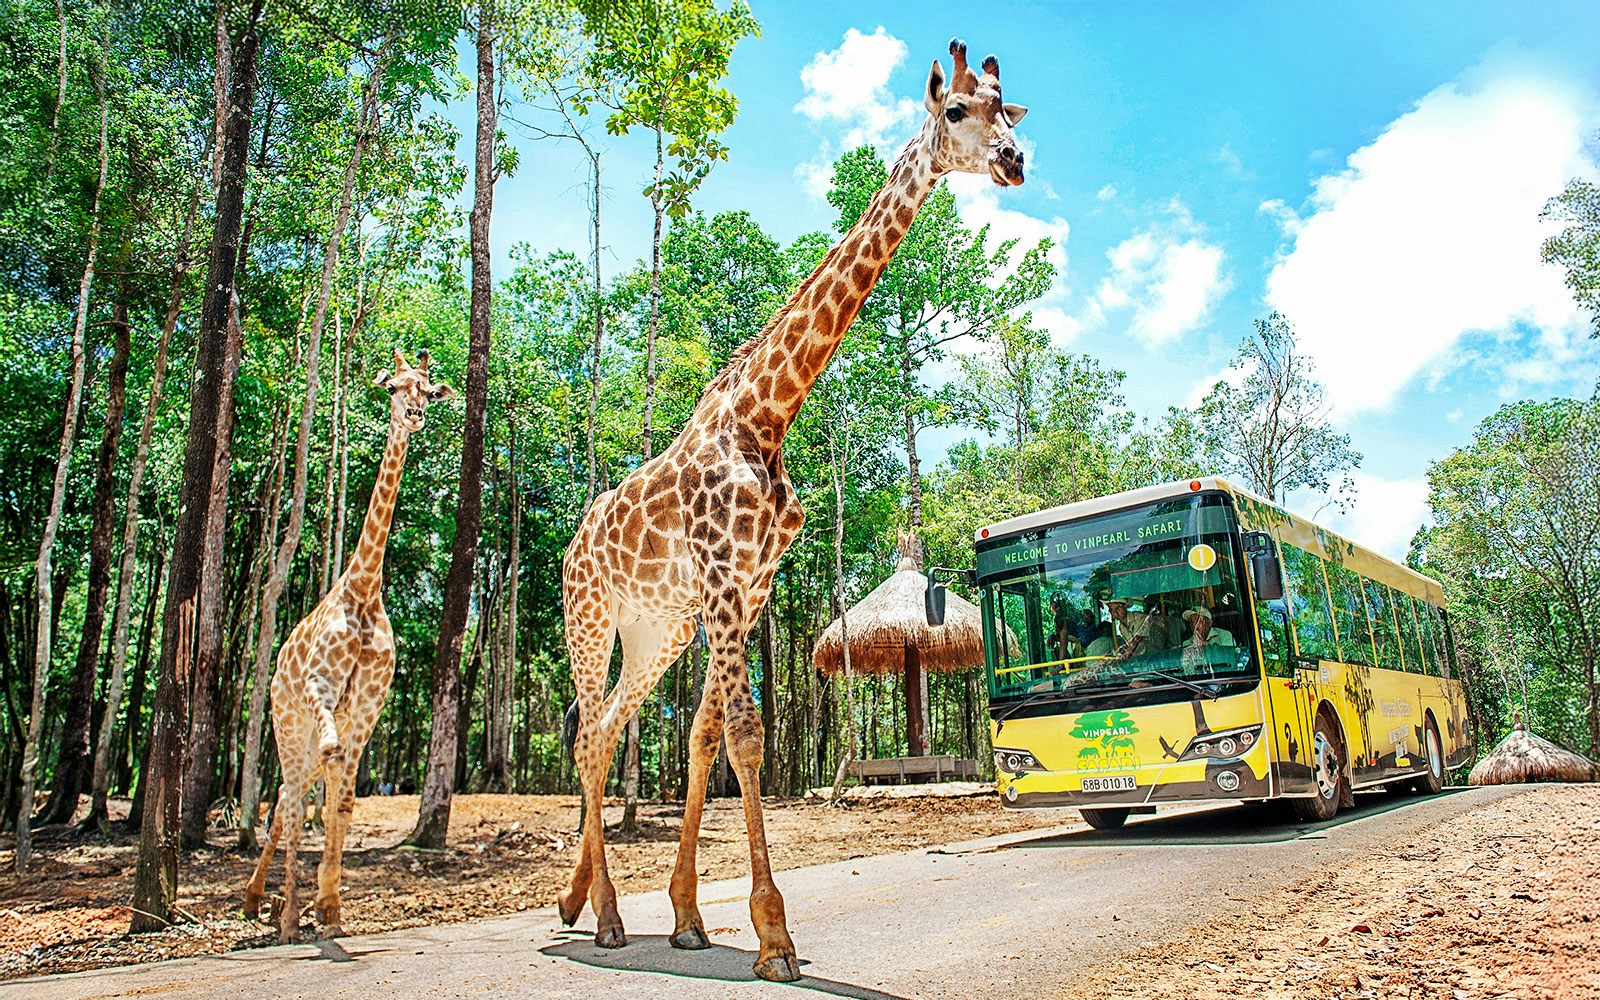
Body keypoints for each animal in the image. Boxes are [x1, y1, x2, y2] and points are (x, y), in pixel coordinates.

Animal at [243, 349, 454, 944]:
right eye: (393, 387)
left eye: (428, 389)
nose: (414, 415)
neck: (363, 588)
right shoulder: (322, 687)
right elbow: (325, 784)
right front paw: (304, 912)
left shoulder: (367, 706)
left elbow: (344, 802)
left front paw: (332, 908)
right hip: (287, 723)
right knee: (290, 800)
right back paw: (278, 913)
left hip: (310, 734)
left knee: (291, 796)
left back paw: (262, 901)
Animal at [558, 39, 1027, 982]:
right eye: (957, 111)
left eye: (1010, 106)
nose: (1014, 161)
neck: (767, 414)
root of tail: (568, 549)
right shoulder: (721, 577)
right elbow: (745, 733)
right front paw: (774, 936)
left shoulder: (747, 586)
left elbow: (704, 736)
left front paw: (691, 916)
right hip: (590, 620)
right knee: (588, 733)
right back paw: (608, 918)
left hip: (656, 631)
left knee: (609, 730)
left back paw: (582, 905)